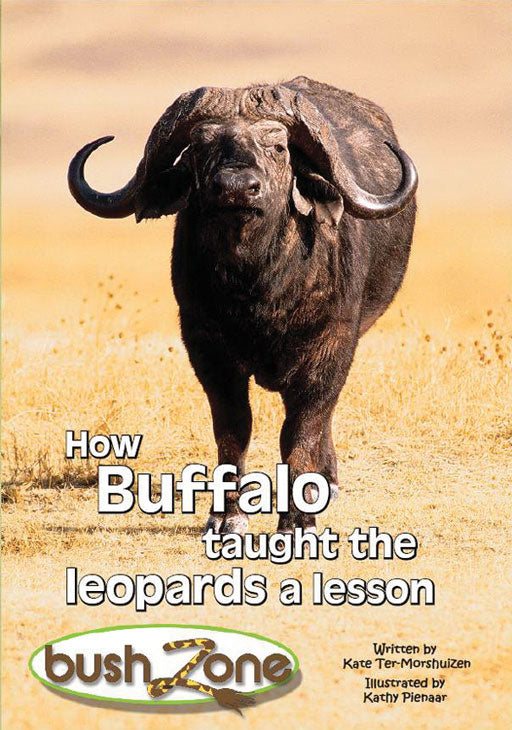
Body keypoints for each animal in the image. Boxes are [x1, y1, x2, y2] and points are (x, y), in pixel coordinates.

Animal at [68, 76, 418, 536]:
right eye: (201, 147)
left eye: (279, 147)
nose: (237, 188)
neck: (258, 289)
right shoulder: (206, 350)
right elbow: (234, 429)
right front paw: (226, 515)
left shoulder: (332, 347)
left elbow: (301, 430)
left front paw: (298, 519)